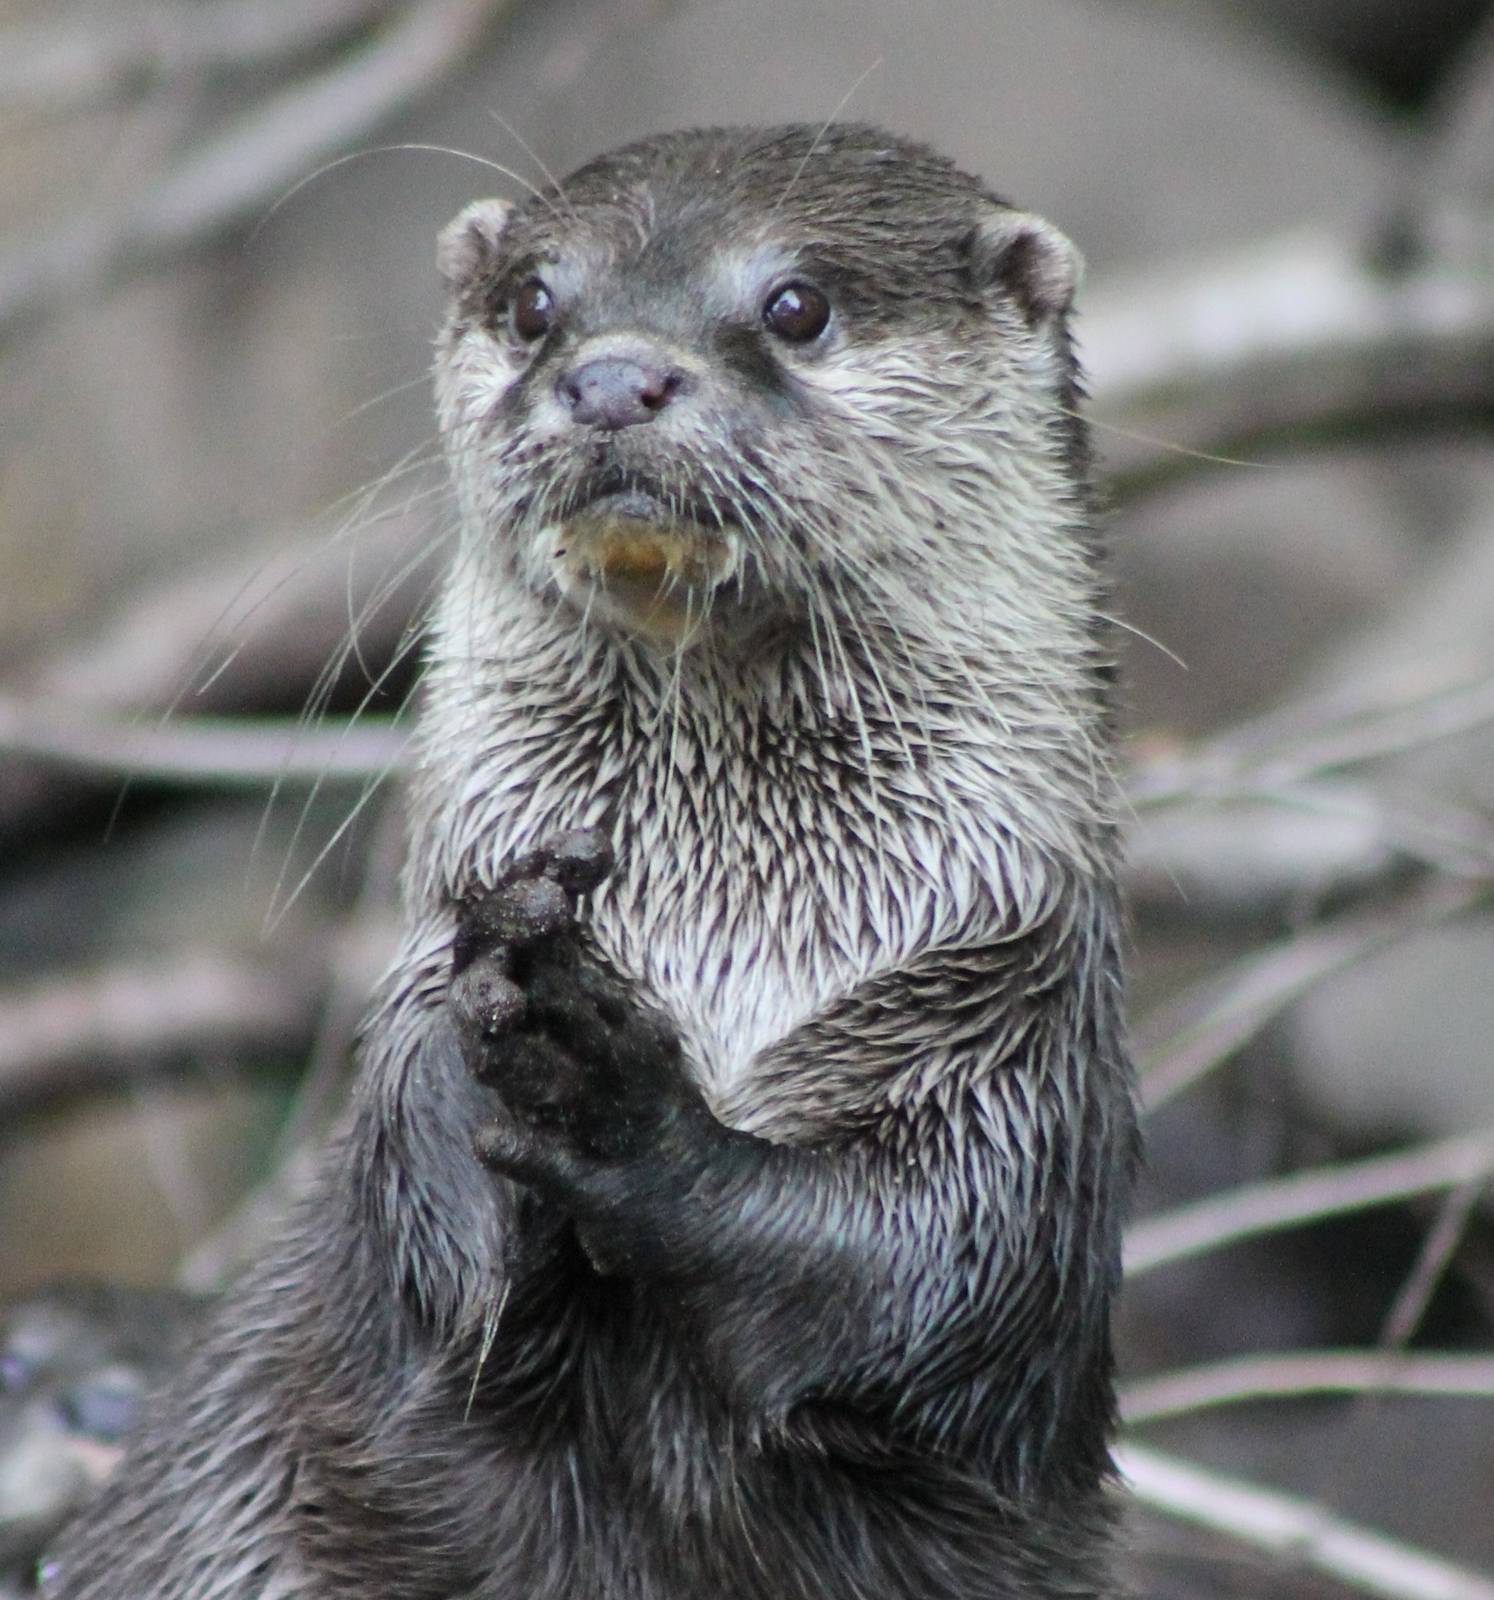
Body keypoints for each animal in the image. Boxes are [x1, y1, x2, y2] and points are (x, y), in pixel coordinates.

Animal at [44, 124, 1136, 1599]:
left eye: (797, 304)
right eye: (533, 304)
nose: (615, 372)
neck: (719, 938)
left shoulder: (1012, 1043)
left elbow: (926, 1275)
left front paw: (623, 1105)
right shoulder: (416, 991)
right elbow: (435, 1227)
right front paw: (511, 1016)